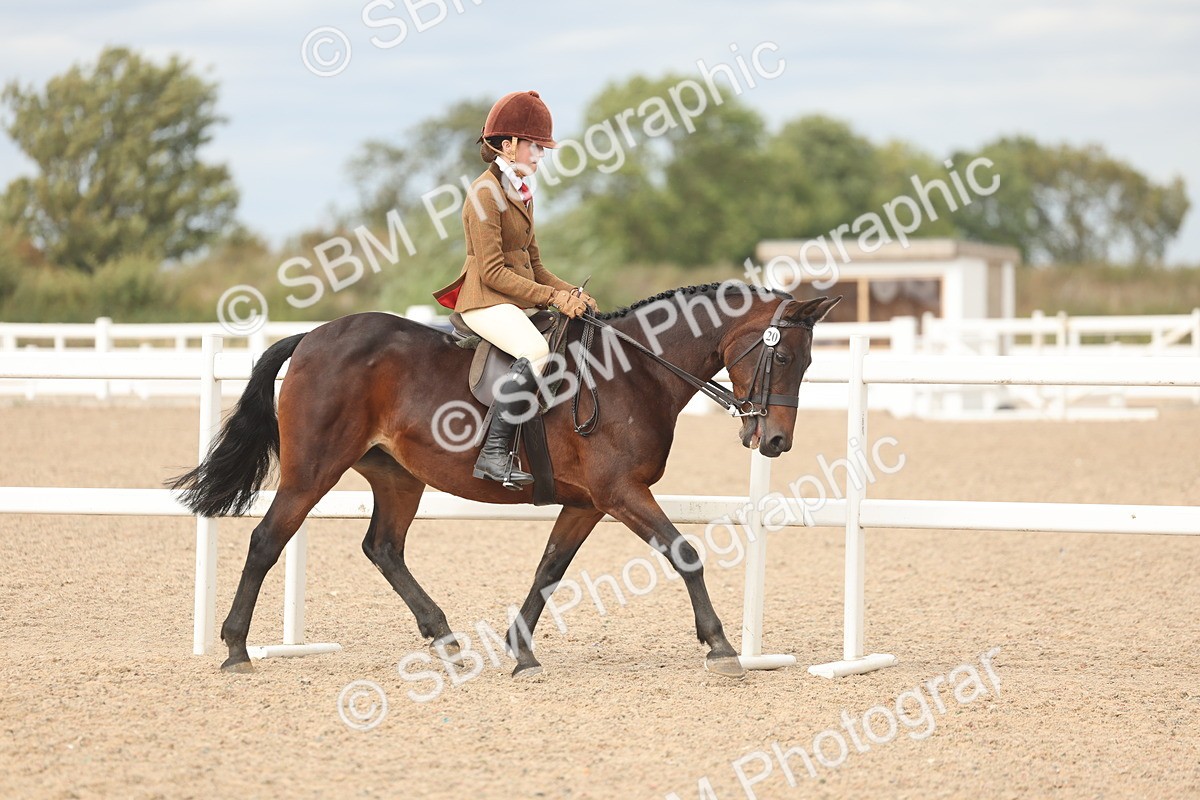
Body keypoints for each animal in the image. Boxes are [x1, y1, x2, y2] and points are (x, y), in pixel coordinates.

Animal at [169, 281, 840, 679]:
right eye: (783, 356)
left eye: (809, 361)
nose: (774, 442)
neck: (635, 371)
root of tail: (312, 335)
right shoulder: (622, 493)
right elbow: (686, 554)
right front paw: (720, 645)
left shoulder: (590, 502)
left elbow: (549, 569)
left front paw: (522, 652)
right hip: (313, 469)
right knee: (267, 541)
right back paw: (236, 650)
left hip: (397, 477)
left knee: (383, 547)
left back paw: (444, 638)